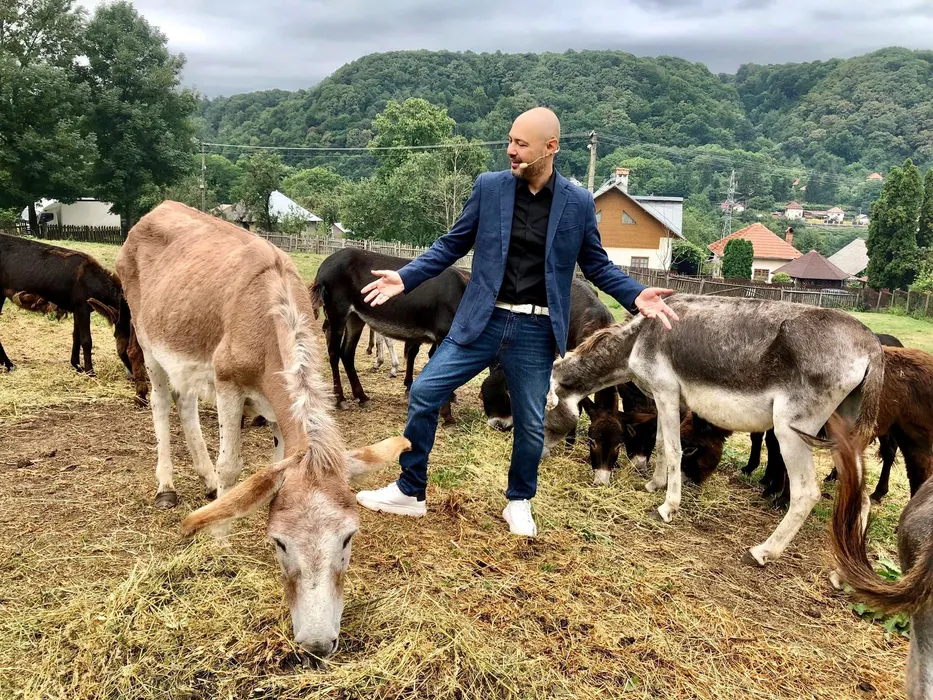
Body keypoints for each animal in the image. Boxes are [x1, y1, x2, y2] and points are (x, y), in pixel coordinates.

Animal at [116, 201, 410, 659]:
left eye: (348, 538)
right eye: (280, 543)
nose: (316, 644)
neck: (268, 312)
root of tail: (156, 211)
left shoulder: (277, 410)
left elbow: (271, 464)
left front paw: (228, 501)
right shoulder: (228, 385)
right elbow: (232, 465)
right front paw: (220, 540)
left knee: (185, 404)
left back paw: (205, 481)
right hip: (150, 344)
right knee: (163, 405)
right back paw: (167, 486)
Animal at [545, 294, 883, 566]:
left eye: (543, 417)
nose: (542, 458)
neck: (640, 337)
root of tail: (870, 341)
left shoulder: (665, 391)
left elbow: (673, 449)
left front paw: (667, 506)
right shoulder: (668, 399)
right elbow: (660, 442)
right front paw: (654, 484)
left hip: (791, 431)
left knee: (806, 493)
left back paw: (763, 551)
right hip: (842, 430)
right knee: (860, 494)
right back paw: (845, 571)